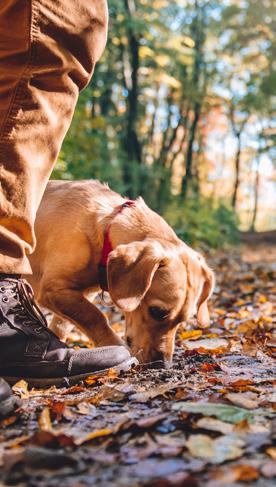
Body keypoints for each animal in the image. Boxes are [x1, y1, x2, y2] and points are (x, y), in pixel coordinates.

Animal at [25, 181, 215, 368]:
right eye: (156, 312)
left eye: (183, 321)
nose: (163, 364)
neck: (105, 229)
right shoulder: (54, 289)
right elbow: (95, 316)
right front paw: (115, 346)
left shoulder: (77, 295)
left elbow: (62, 325)